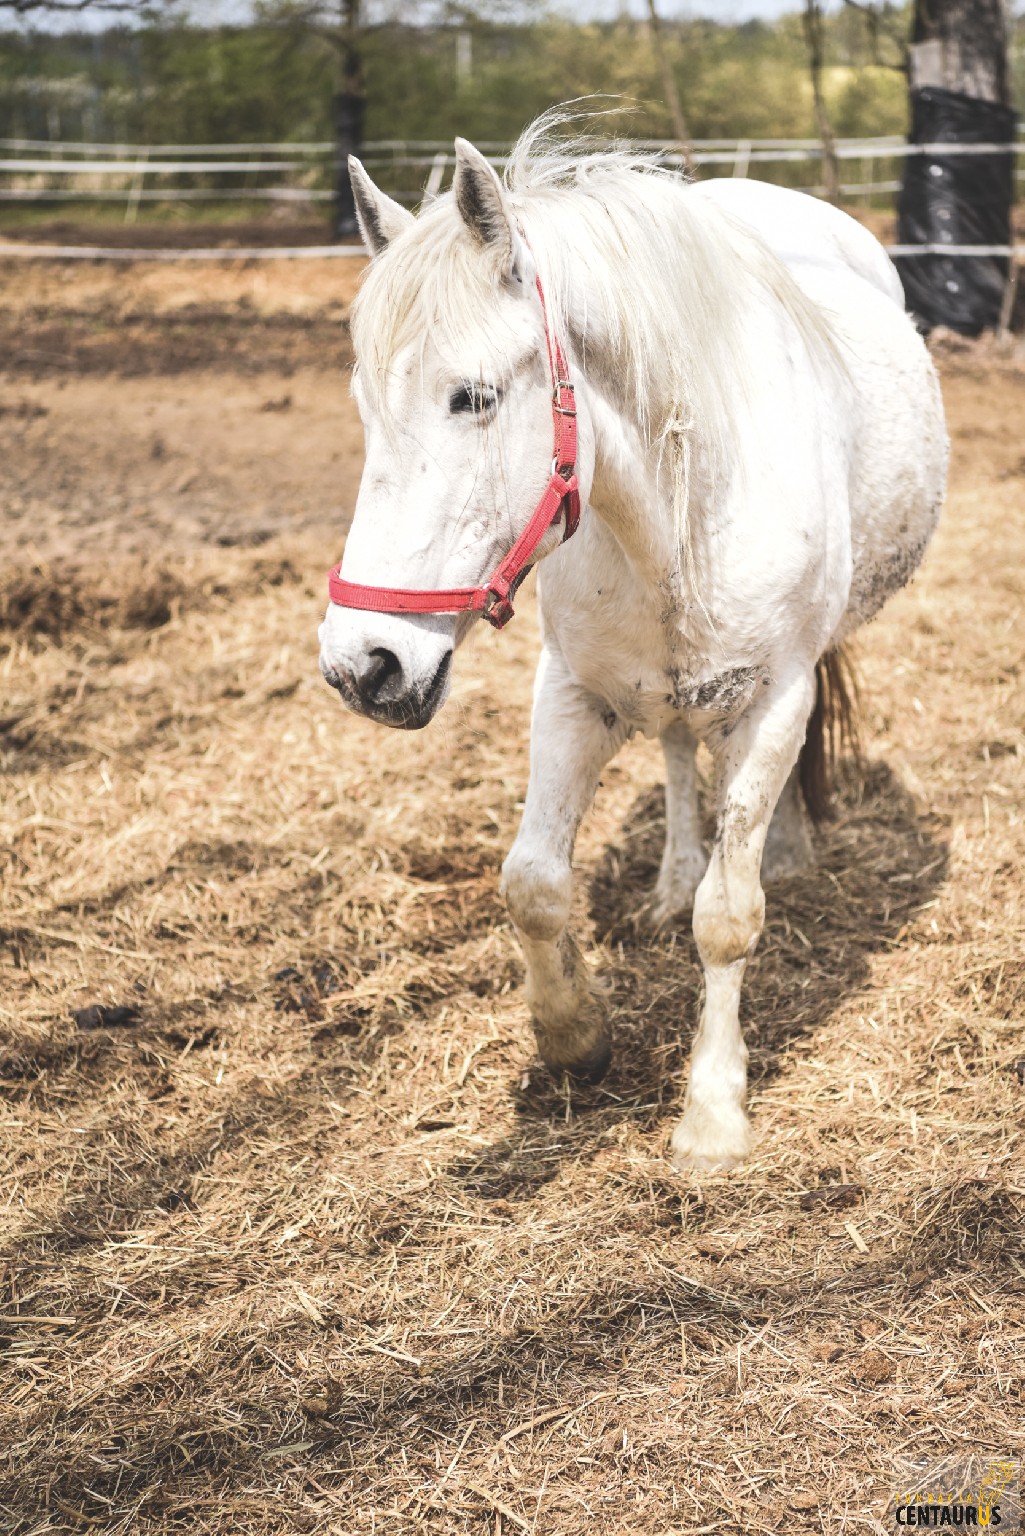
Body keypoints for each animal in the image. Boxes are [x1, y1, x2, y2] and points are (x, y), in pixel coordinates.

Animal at [318, 119, 946, 1167]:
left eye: (471, 397)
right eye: (362, 405)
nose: (362, 665)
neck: (681, 504)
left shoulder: (772, 699)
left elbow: (728, 918)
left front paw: (712, 1112)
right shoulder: (571, 692)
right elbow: (531, 882)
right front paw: (573, 1037)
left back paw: (785, 850)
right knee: (679, 750)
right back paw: (672, 877)